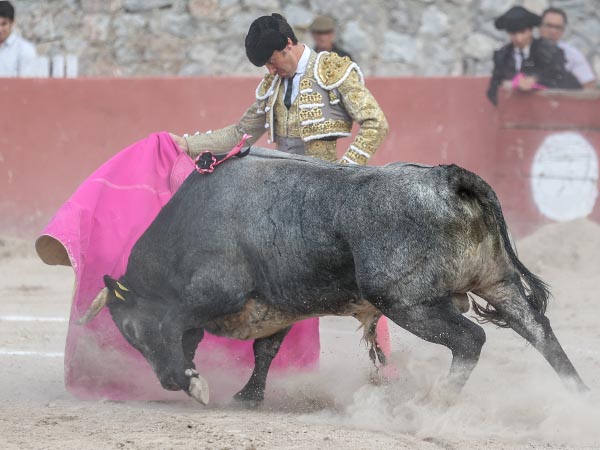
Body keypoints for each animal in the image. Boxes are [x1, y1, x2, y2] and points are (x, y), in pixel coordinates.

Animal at [78, 148, 584, 404]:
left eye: (128, 329)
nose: (165, 382)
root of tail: (447, 177)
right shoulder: (277, 306)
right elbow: (265, 350)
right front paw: (248, 396)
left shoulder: (215, 291)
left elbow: (175, 324)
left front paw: (195, 384)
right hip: (497, 283)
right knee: (539, 331)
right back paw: (577, 398)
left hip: (407, 301)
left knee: (470, 339)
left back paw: (436, 400)